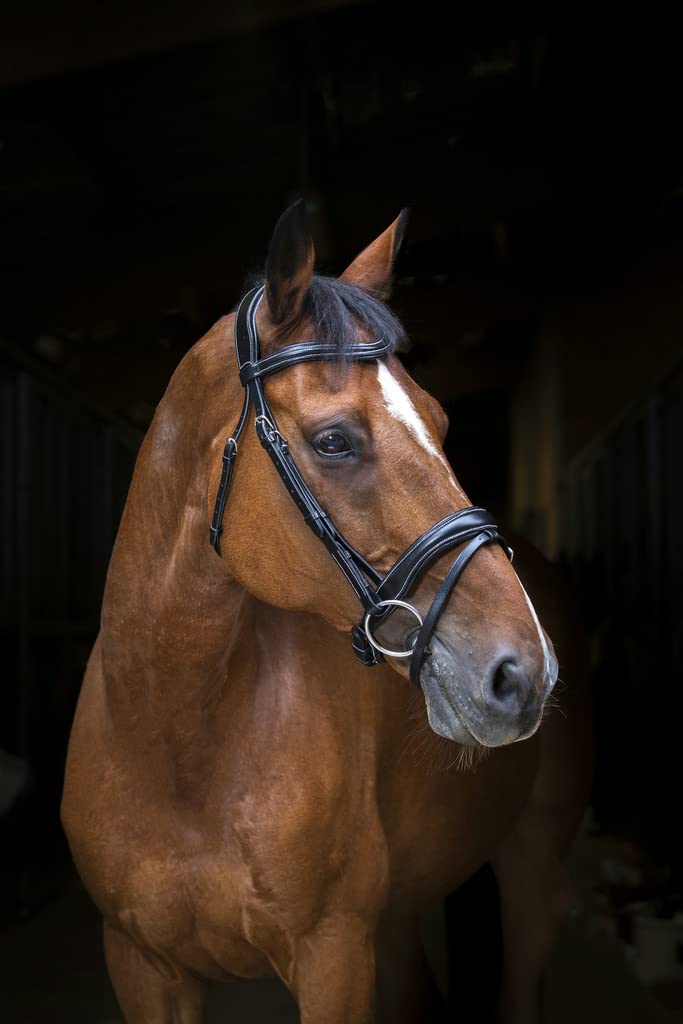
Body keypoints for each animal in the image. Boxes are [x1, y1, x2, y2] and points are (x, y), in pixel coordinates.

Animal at [61, 201, 592, 1023]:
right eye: (334, 440)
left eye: (440, 423)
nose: (522, 672)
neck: (174, 744)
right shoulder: (142, 965)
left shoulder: (333, 958)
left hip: (532, 868)